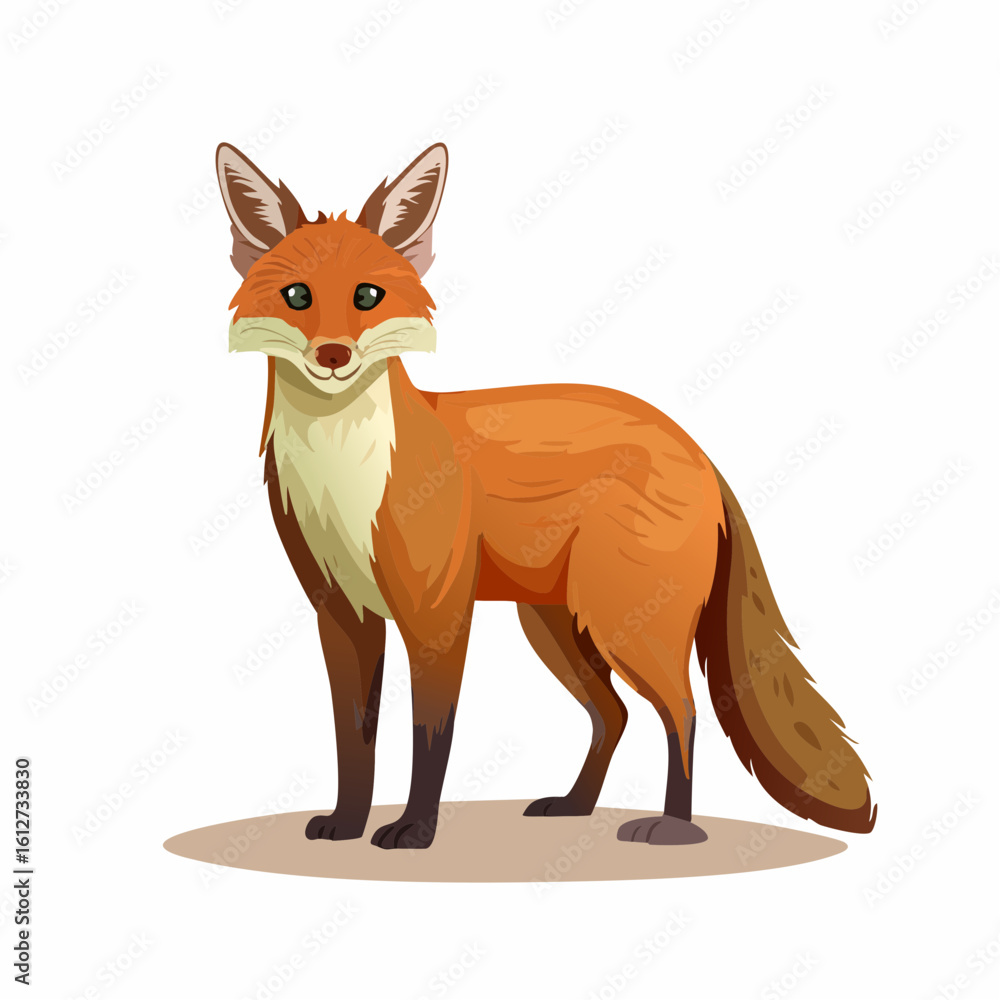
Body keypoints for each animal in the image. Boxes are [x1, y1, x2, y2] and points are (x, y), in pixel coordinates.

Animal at [216, 140, 875, 850]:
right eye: (297, 296)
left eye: (368, 295)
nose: (333, 354)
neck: (344, 479)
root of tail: (700, 452)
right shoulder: (341, 615)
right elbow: (352, 737)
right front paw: (347, 822)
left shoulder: (438, 616)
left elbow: (431, 735)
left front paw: (415, 829)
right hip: (558, 628)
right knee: (614, 714)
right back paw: (576, 805)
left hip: (624, 625)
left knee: (685, 710)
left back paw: (674, 825)